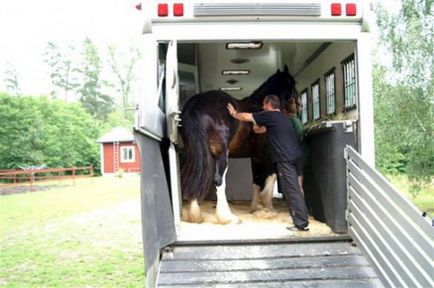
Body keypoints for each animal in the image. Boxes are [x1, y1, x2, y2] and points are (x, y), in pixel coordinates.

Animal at [181, 64, 298, 223]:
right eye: (293, 83)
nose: (298, 106)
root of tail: (197, 103)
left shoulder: (255, 156)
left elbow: (256, 180)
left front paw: (254, 207)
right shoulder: (267, 153)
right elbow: (272, 175)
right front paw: (267, 204)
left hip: (196, 152)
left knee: (196, 176)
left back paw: (195, 214)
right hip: (221, 154)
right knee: (218, 181)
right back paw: (227, 217)